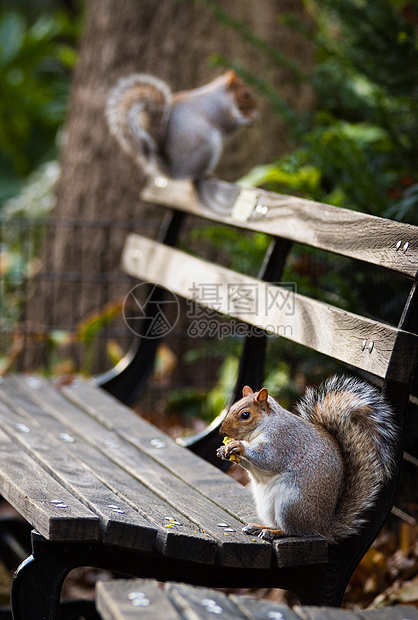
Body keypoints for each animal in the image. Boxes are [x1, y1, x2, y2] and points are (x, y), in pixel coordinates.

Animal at [105, 72, 255, 182]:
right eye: (245, 94)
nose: (255, 106)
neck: (220, 96)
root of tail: (173, 172)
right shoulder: (216, 109)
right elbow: (228, 125)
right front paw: (246, 118)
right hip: (205, 146)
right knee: (190, 176)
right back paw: (205, 175)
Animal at [217, 372, 396, 544]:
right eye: (232, 407)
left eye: (245, 415)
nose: (221, 432)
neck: (264, 425)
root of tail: (322, 527)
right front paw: (222, 450)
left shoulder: (283, 440)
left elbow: (268, 458)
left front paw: (238, 446)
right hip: (267, 507)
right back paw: (258, 527)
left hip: (290, 505)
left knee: (294, 531)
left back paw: (273, 533)